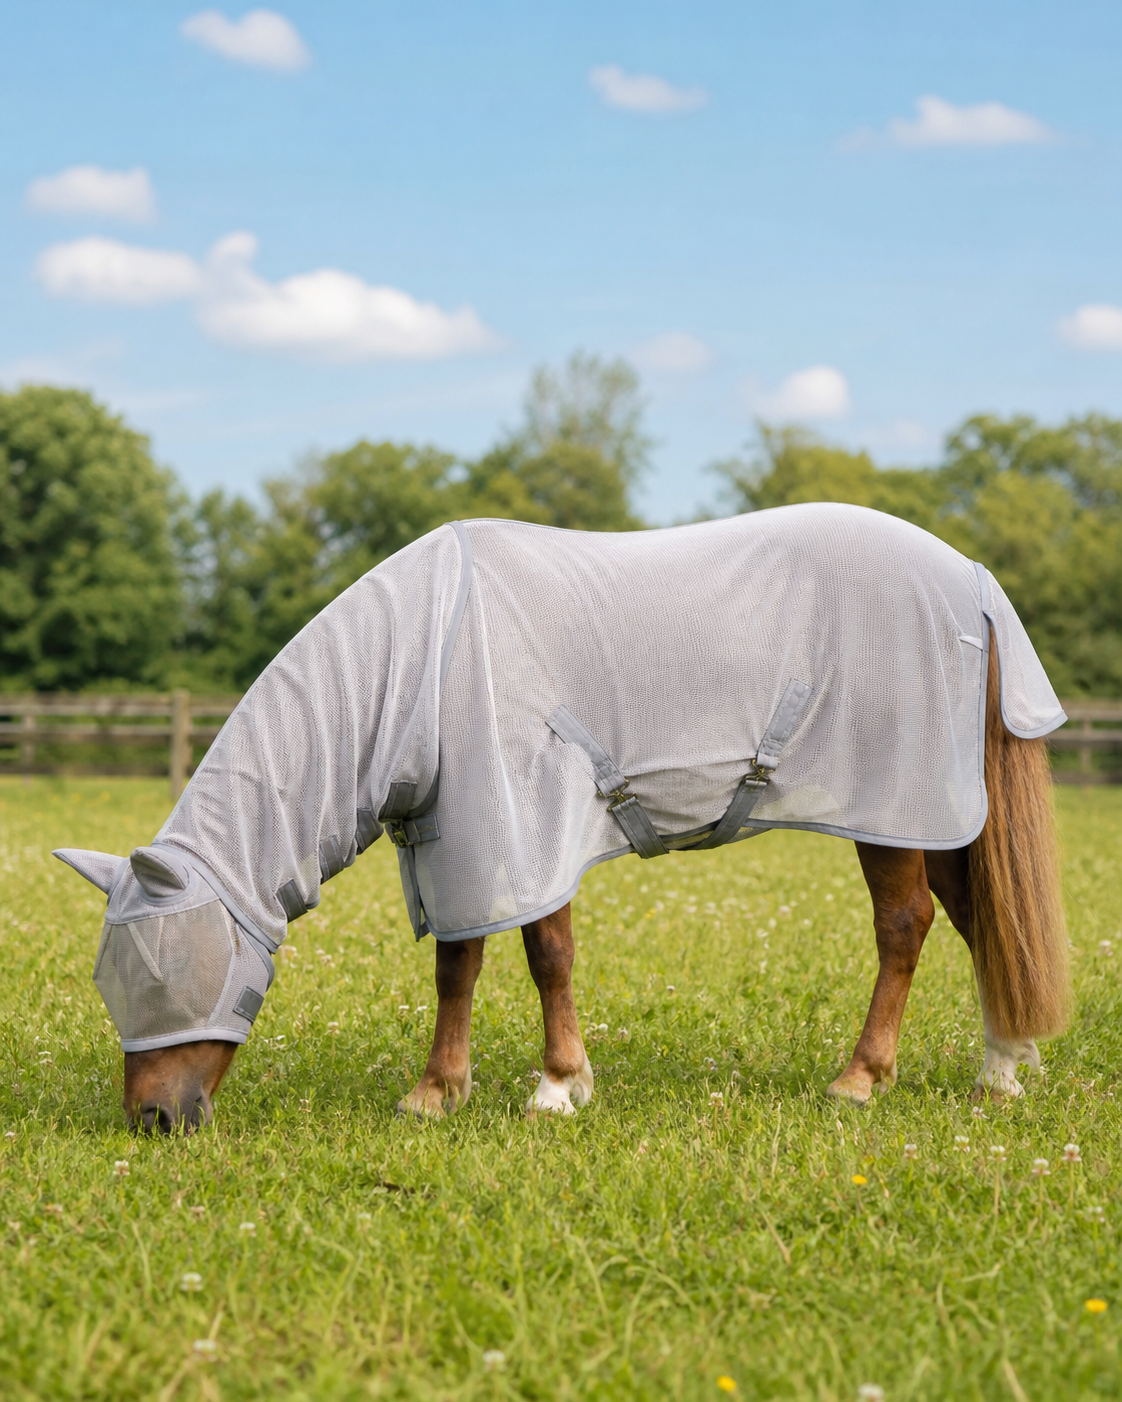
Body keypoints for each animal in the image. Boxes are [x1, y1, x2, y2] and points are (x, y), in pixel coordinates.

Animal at [53, 504, 1070, 1132]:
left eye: (166, 972)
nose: (153, 1122)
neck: (426, 657)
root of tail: (970, 578)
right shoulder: (458, 831)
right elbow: (459, 966)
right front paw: (440, 1092)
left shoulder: (521, 818)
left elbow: (545, 954)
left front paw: (552, 1087)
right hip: (942, 816)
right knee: (981, 920)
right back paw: (1001, 1071)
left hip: (892, 814)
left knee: (906, 926)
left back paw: (862, 1079)